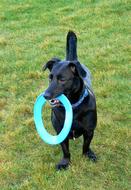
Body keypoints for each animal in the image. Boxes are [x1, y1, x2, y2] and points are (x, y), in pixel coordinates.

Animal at [43, 31, 97, 171]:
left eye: (62, 79)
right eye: (50, 78)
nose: (45, 95)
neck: (73, 107)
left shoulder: (89, 131)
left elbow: (86, 146)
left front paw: (87, 155)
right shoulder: (61, 132)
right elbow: (66, 150)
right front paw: (65, 162)